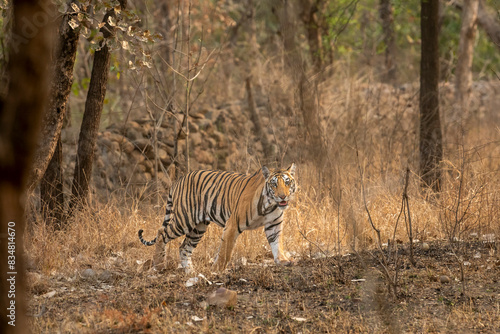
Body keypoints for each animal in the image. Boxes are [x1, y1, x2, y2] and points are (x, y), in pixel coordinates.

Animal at [138, 163, 296, 272]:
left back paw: (190, 272)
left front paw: (282, 260)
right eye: (274, 184)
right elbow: (225, 251)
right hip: (184, 219)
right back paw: (159, 265)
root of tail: (179, 180)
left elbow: (277, 243)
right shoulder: (233, 224)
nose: (283, 196)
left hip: (198, 227)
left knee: (184, 247)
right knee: (161, 232)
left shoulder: (274, 224)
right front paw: (217, 269)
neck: (270, 205)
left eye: (287, 182)